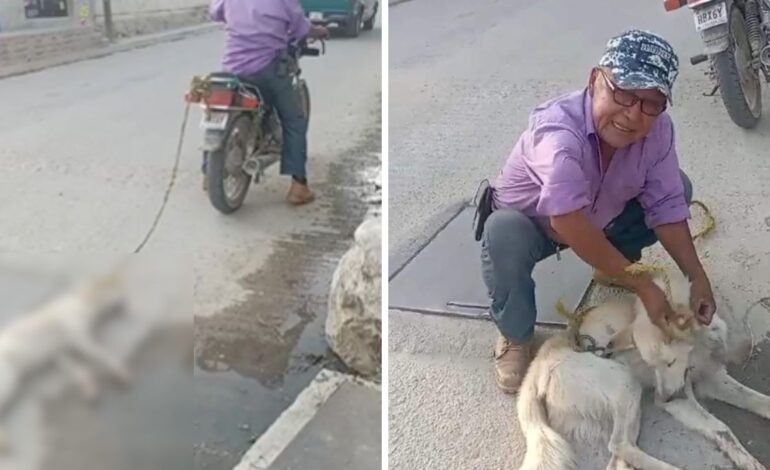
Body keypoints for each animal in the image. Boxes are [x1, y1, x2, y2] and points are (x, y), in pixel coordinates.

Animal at [0, 270, 130, 454]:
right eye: (120, 291)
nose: (129, 303)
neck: (82, 301)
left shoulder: (60, 352)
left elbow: (78, 370)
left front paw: (89, 388)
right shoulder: (81, 340)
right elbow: (105, 355)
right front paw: (120, 371)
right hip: (9, 380)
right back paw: (3, 440)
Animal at [516, 270, 768, 468]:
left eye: (670, 362)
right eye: (651, 365)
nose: (665, 398)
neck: (697, 350)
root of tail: (535, 370)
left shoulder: (711, 378)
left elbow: (754, 403)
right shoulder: (681, 399)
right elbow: (721, 426)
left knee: (618, 458)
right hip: (625, 383)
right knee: (618, 444)